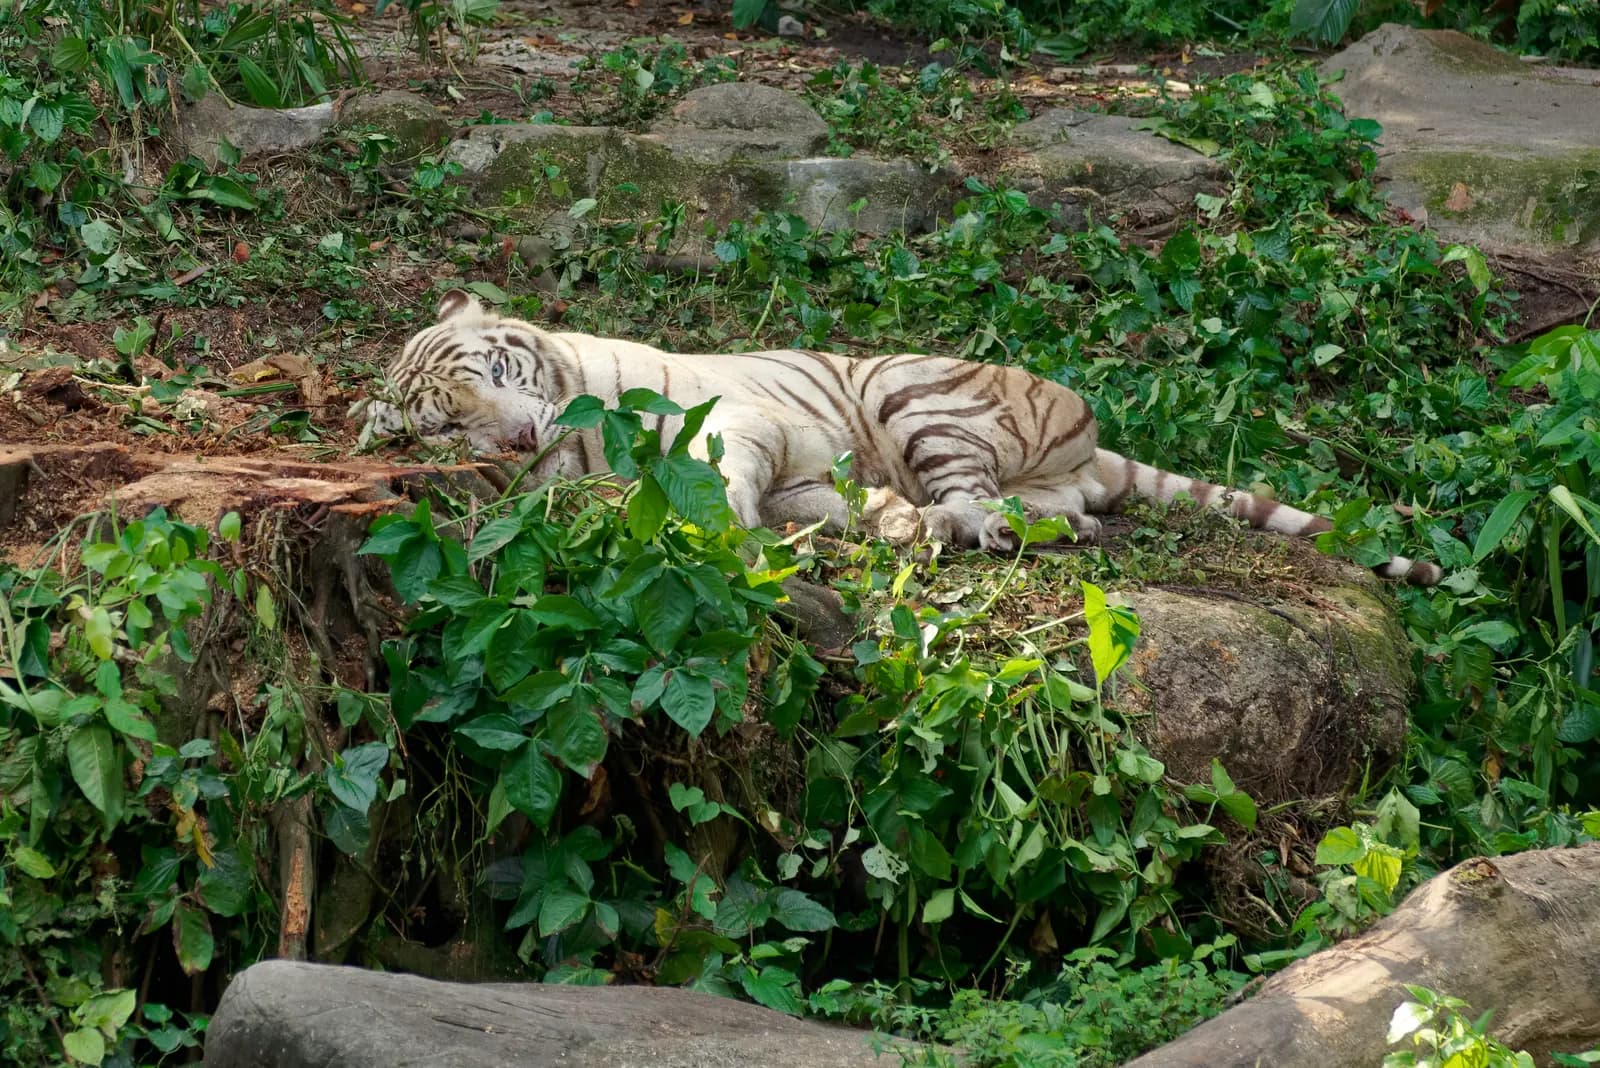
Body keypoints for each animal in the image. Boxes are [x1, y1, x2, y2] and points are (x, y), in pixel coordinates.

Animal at [354, 290, 1442, 586]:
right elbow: (813, 501)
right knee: (1051, 513)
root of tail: (1090, 433)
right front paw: (870, 520)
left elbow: (719, 475)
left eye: (497, 376)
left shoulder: (750, 420)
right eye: (445, 422)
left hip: (915, 395)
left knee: (983, 497)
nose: (516, 435)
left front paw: (718, 527)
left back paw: (966, 529)